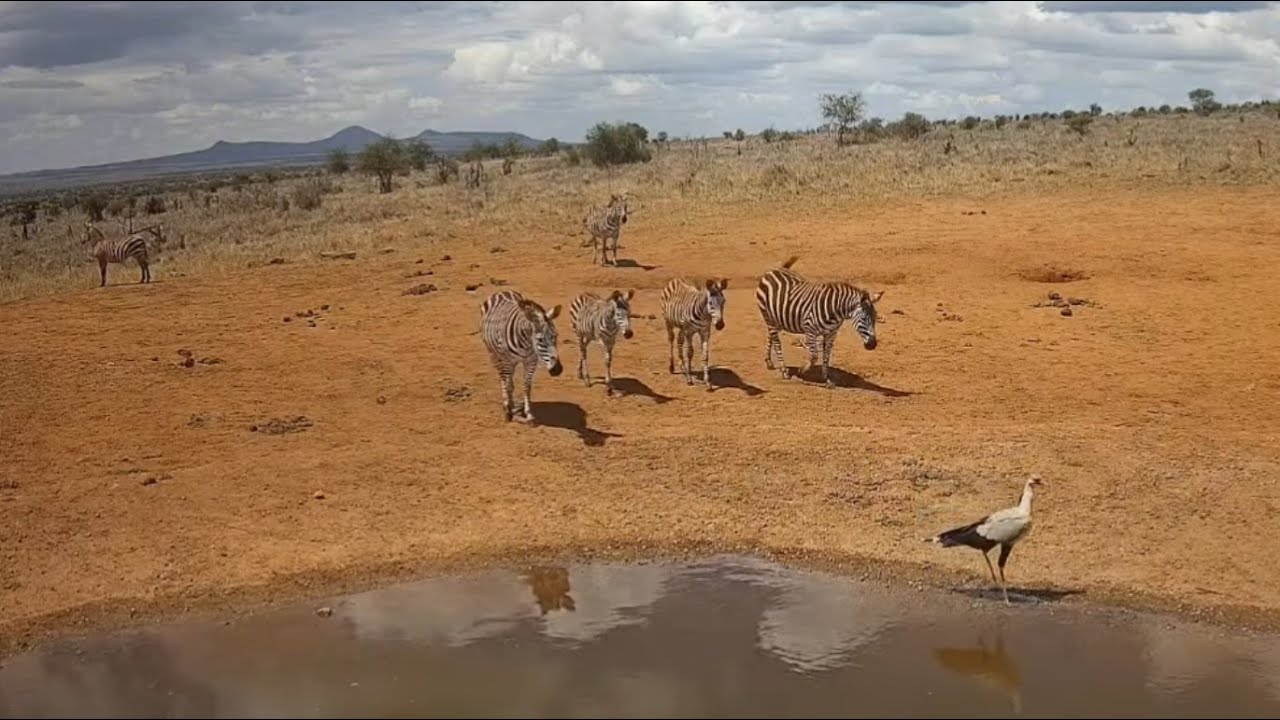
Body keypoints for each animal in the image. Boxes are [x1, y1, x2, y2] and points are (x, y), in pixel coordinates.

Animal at [479, 290, 564, 423]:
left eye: (556, 336)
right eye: (540, 339)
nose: (558, 370)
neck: (526, 343)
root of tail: (502, 291)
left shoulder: (531, 361)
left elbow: (526, 386)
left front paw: (528, 414)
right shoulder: (507, 361)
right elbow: (508, 384)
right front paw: (508, 412)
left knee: (509, 379)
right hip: (494, 355)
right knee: (503, 378)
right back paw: (507, 404)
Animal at [754, 255, 884, 388]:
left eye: (875, 317)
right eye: (863, 318)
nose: (873, 345)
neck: (835, 312)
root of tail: (773, 270)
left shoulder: (831, 334)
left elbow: (826, 356)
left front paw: (827, 380)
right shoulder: (810, 331)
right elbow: (814, 356)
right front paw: (802, 371)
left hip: (779, 319)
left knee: (770, 336)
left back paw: (769, 362)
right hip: (768, 316)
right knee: (777, 343)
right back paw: (784, 371)